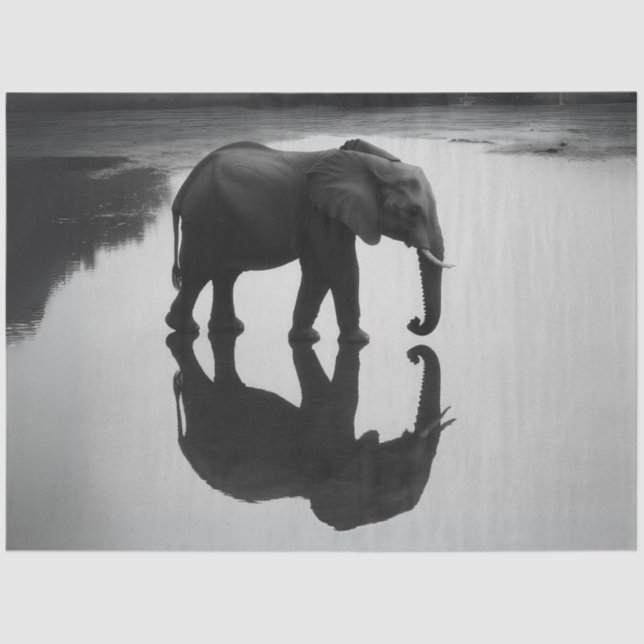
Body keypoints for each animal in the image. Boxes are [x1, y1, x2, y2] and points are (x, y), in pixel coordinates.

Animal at [165, 138, 453, 343]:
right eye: (413, 211)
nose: (413, 322)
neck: (369, 163)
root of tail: (185, 188)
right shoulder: (321, 214)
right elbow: (339, 268)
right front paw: (361, 340)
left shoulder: (329, 214)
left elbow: (318, 272)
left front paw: (306, 337)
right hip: (206, 221)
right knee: (199, 274)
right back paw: (185, 328)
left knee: (225, 275)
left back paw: (229, 329)